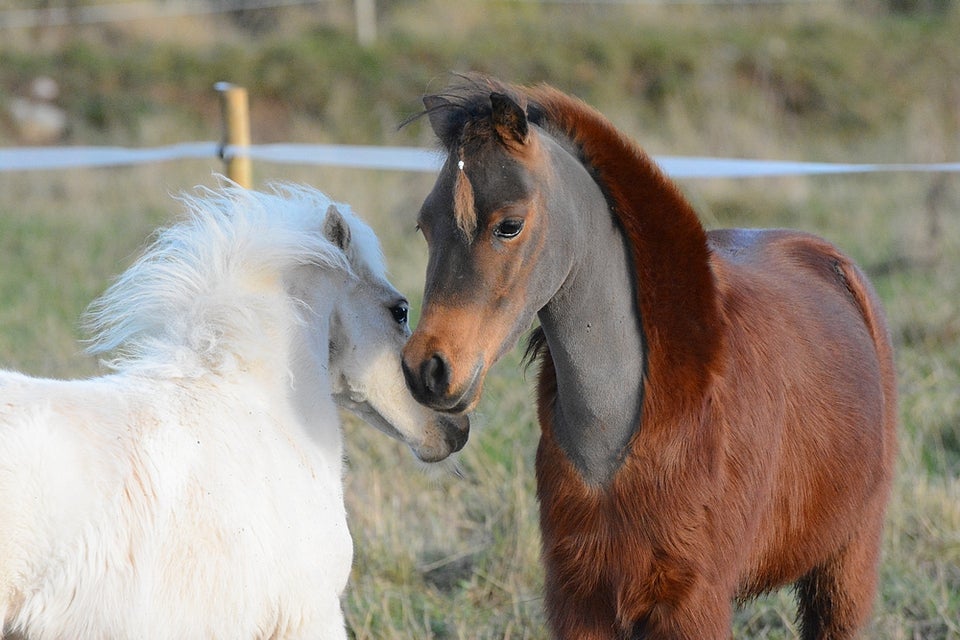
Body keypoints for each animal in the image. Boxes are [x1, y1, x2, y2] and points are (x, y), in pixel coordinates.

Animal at [402, 76, 896, 640]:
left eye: (509, 225)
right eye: (424, 225)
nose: (428, 368)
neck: (614, 441)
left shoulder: (690, 603)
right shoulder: (581, 599)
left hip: (842, 571)